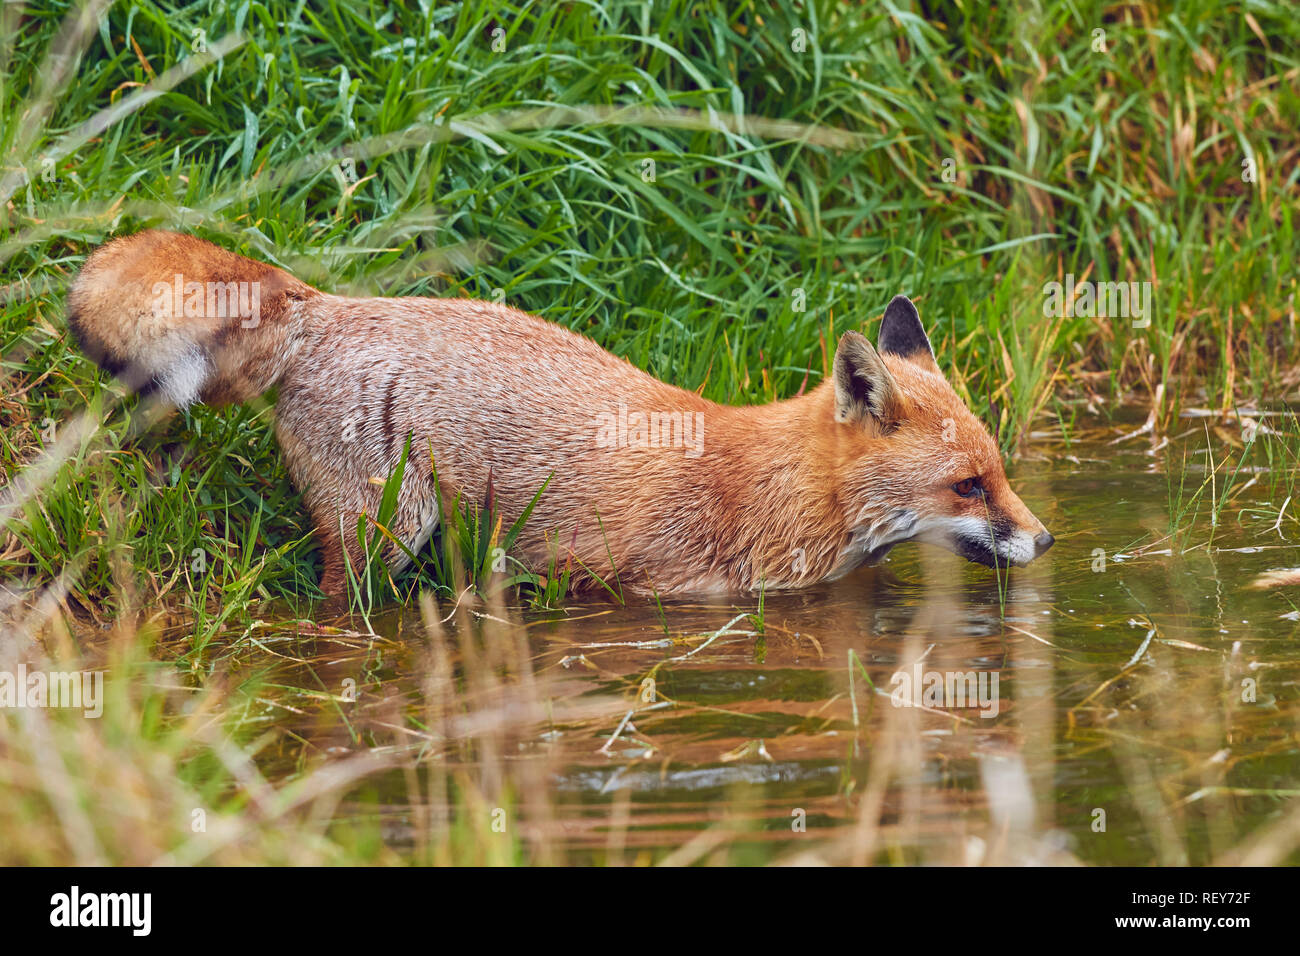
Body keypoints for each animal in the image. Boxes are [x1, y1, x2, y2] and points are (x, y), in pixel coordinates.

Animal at [66, 230, 1054, 595]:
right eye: (968, 487)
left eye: (1002, 473)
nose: (1046, 540)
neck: (773, 494)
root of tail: (329, 305)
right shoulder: (631, 586)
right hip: (386, 535)